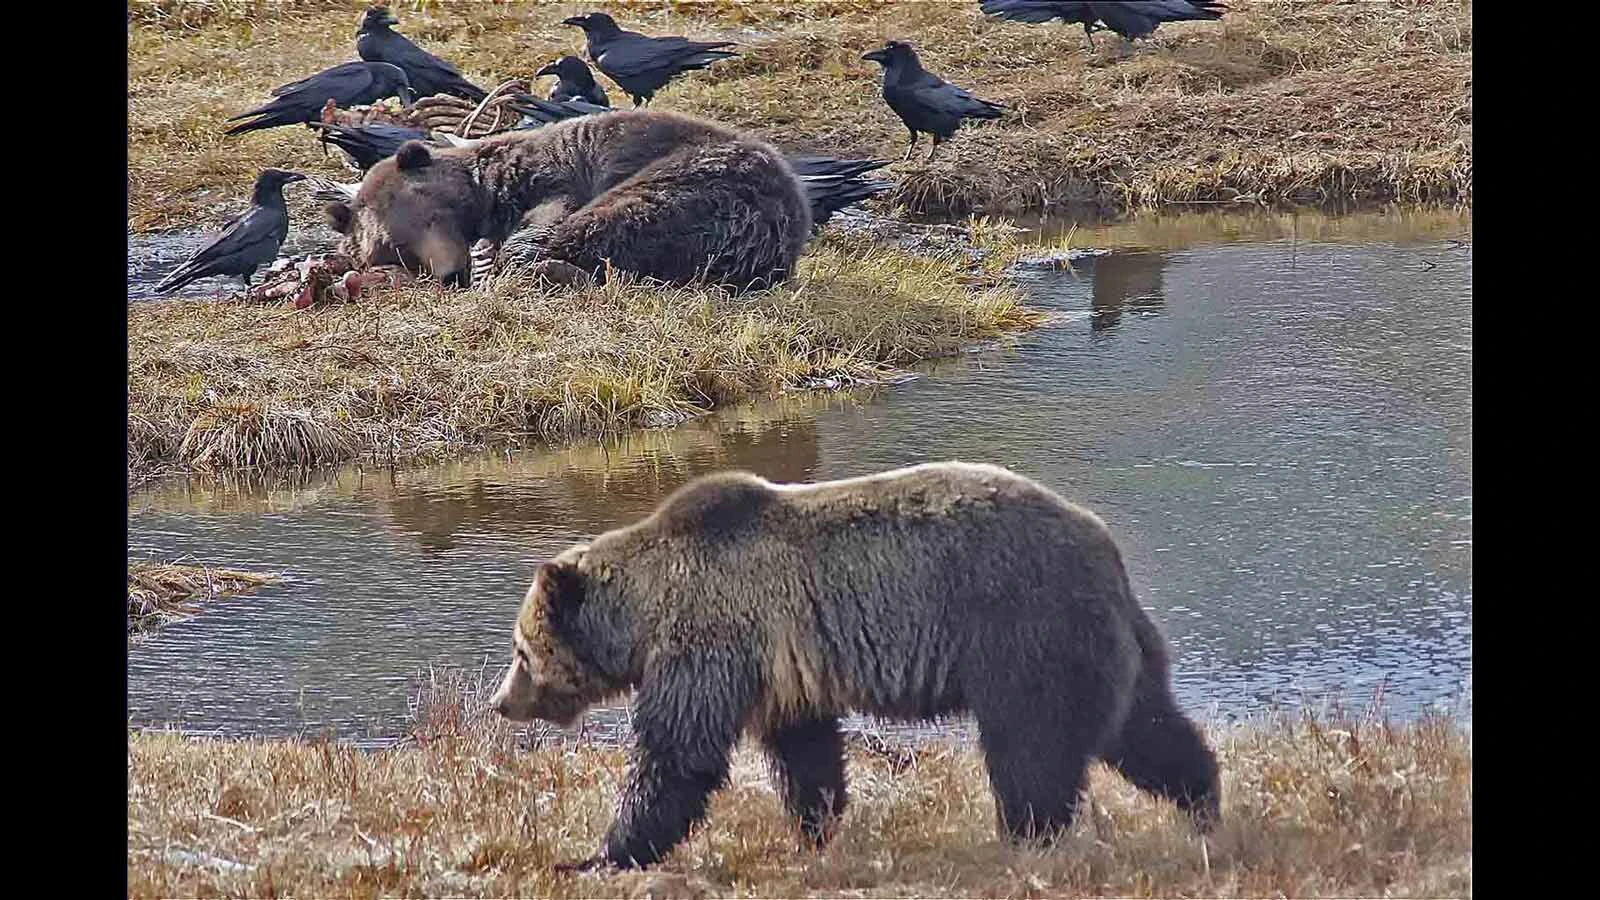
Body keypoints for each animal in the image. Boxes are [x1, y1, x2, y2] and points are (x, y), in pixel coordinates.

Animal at [324, 109, 812, 290]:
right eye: (396, 247)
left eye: (431, 216)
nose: (451, 272)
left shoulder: (553, 174)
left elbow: (551, 214)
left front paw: (501, 256)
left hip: (700, 182)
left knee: (617, 219)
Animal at [489, 461, 1220, 870]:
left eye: (522, 651)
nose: (501, 702)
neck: (644, 616)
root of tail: (1107, 549)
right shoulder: (782, 668)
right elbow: (804, 751)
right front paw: (817, 829)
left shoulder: (712, 641)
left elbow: (678, 753)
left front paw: (600, 854)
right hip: (1102, 645)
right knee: (1144, 728)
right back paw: (1203, 805)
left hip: (1023, 631)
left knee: (1032, 750)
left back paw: (1023, 838)